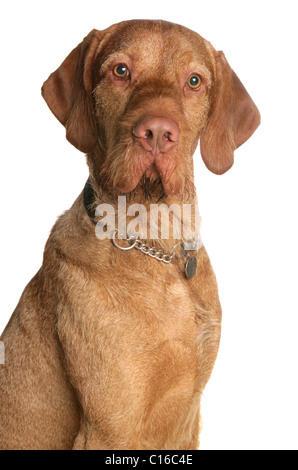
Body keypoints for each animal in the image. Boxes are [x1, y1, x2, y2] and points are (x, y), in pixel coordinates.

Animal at [0, 20, 260, 450]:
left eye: (194, 81)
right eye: (120, 71)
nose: (156, 132)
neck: (158, 246)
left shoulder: (189, 415)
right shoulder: (110, 427)